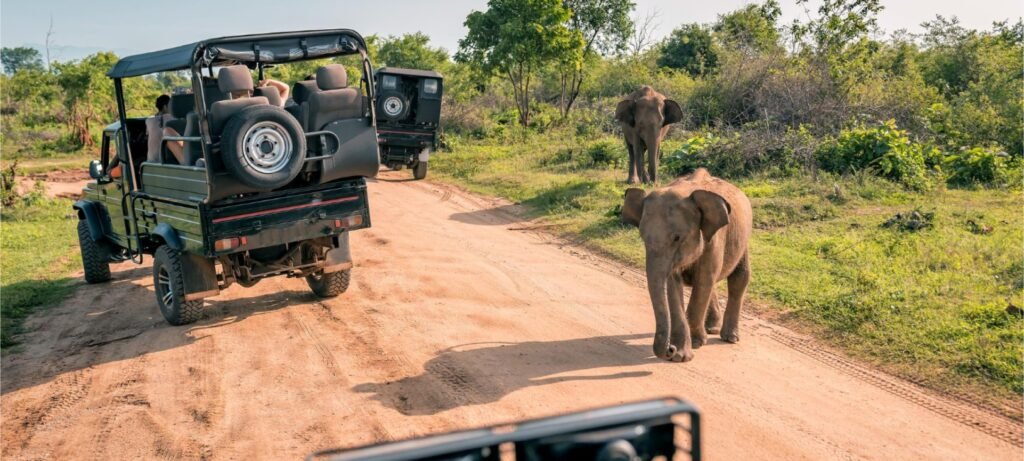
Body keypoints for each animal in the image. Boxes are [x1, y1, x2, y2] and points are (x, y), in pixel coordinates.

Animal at [614, 166, 753, 362]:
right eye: (642, 237)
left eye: (677, 238)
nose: (669, 349)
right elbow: (674, 284)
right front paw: (681, 354)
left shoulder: (714, 239)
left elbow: (704, 279)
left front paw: (695, 343)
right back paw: (711, 328)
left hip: (743, 239)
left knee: (739, 278)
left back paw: (729, 338)